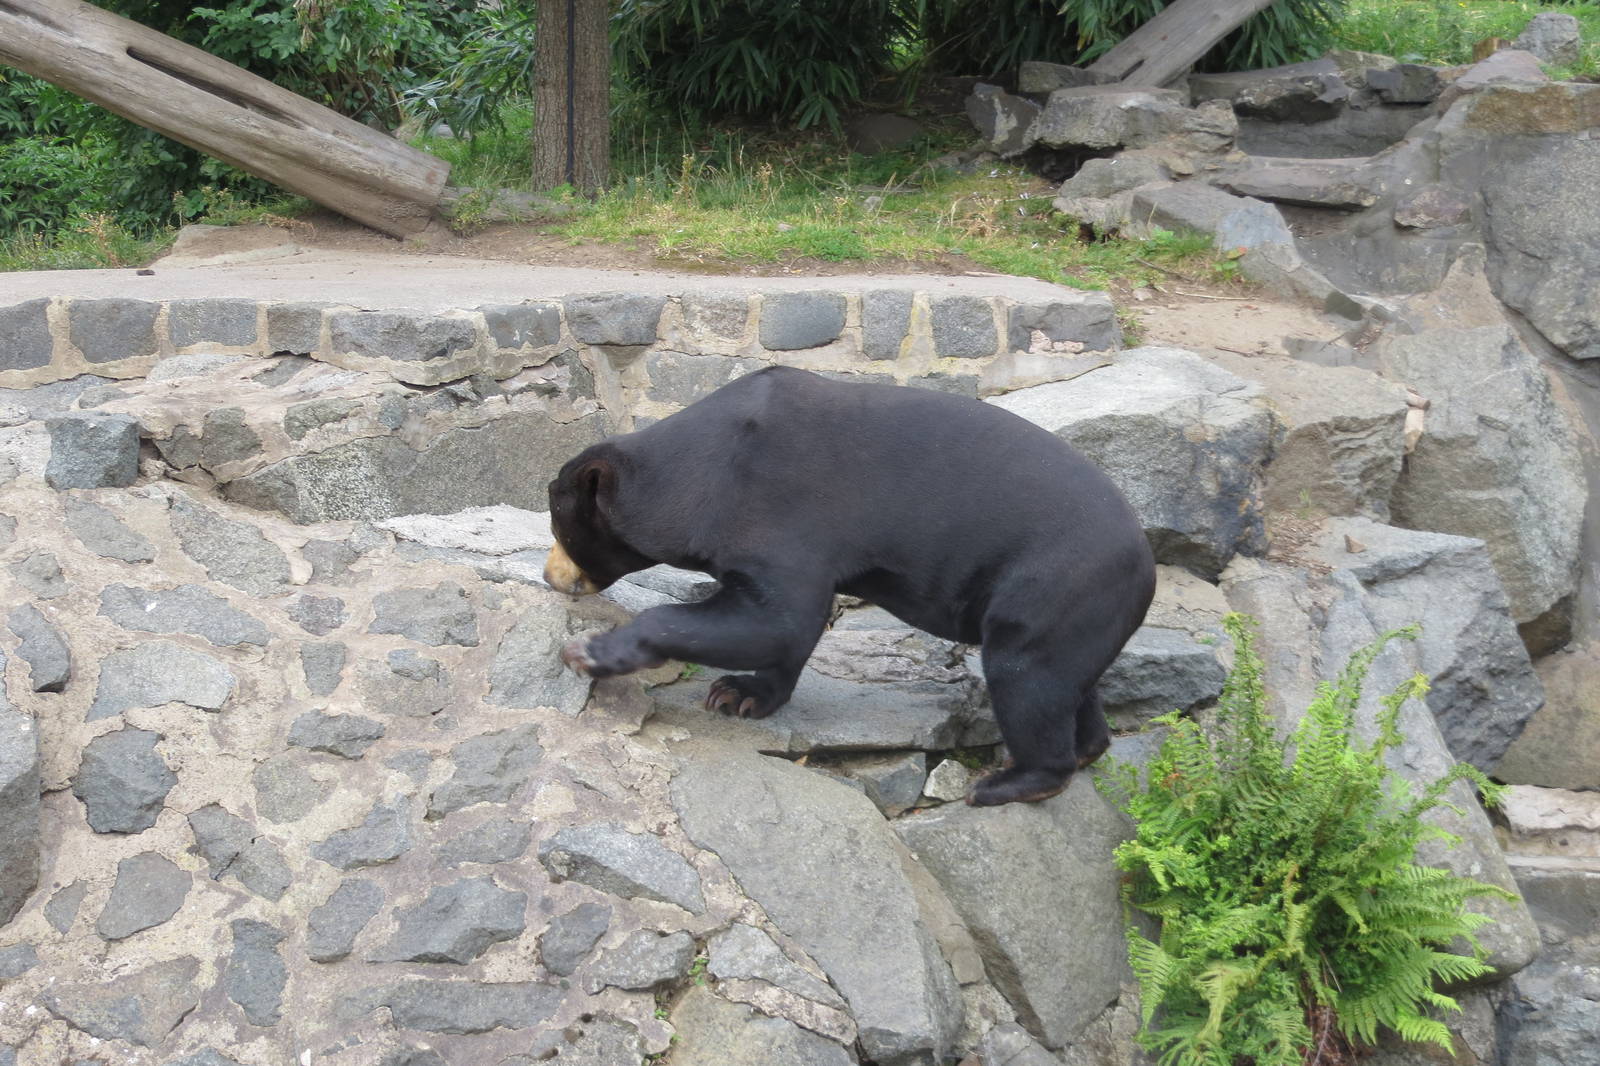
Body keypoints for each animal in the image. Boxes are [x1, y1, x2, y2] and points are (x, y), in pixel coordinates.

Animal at [544, 365, 1155, 806]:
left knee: (1026, 677)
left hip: (1050, 585)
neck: (701, 473)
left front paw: (587, 652)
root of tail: (1145, 561)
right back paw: (1086, 748)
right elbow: (790, 627)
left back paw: (1006, 782)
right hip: (1074, 610)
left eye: (558, 525)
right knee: (1069, 683)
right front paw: (741, 694)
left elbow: (780, 617)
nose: (549, 577)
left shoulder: (775, 507)